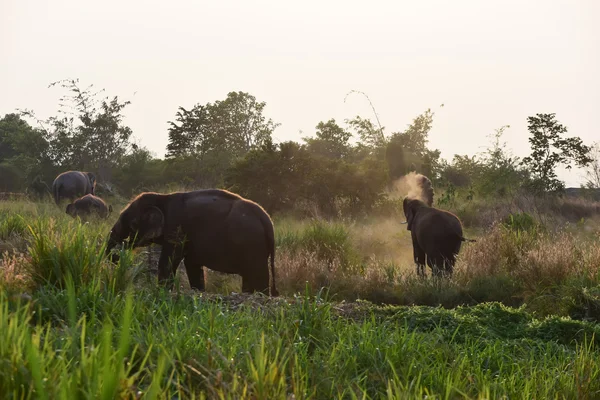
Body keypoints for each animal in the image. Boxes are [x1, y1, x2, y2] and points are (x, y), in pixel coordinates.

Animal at [105, 189, 278, 296]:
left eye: (132, 224)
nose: (117, 256)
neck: (162, 197)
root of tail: (267, 220)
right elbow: (192, 264)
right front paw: (198, 291)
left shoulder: (176, 227)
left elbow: (168, 261)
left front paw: (162, 292)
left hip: (253, 246)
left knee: (257, 275)